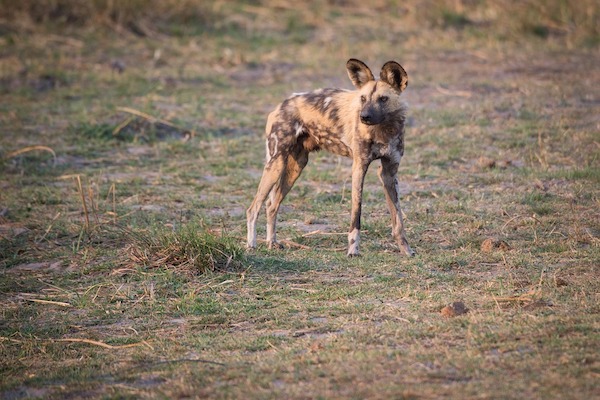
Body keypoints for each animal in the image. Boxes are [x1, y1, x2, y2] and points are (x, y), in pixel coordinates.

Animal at [244, 59, 412, 256]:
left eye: (383, 99)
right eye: (363, 99)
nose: (364, 117)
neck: (384, 130)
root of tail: (283, 103)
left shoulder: (389, 172)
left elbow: (398, 220)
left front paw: (406, 250)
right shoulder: (359, 168)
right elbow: (356, 215)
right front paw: (353, 250)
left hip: (295, 167)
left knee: (271, 205)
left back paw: (272, 242)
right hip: (275, 165)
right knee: (253, 208)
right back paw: (251, 245)